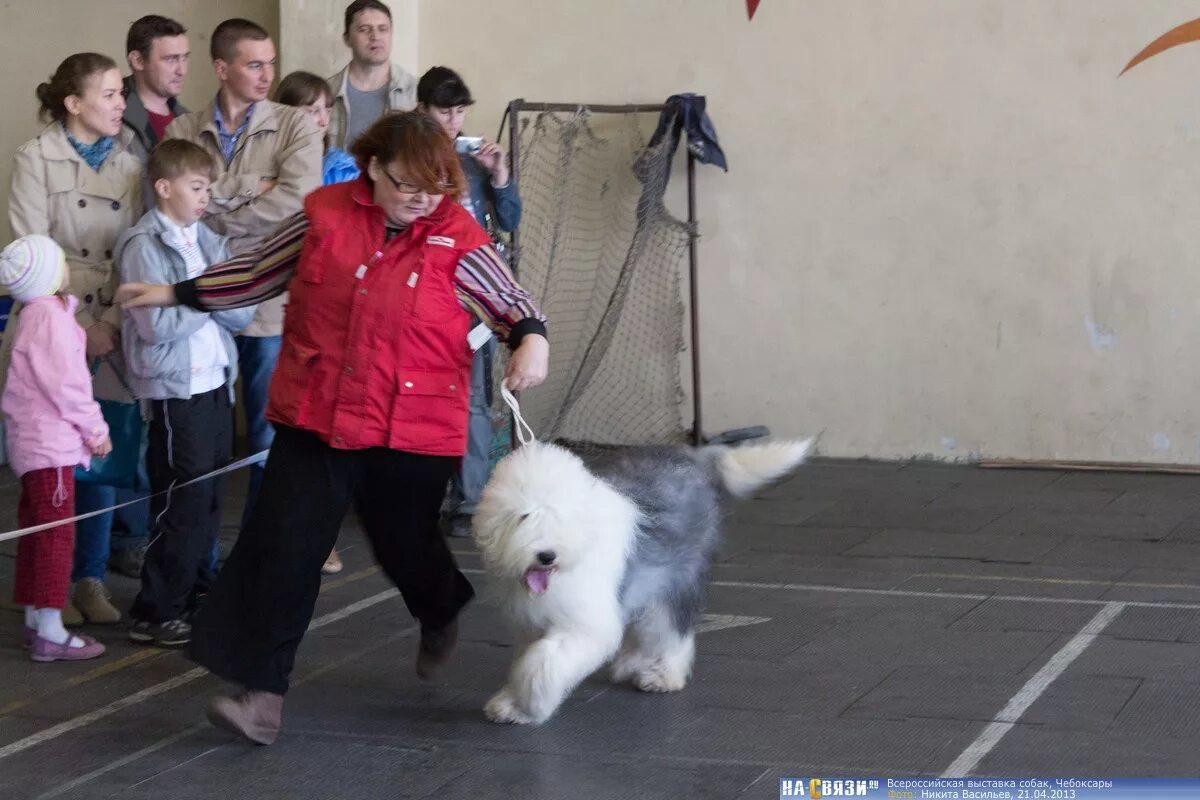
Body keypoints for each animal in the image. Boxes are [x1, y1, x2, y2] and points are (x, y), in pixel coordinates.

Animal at [472, 438, 811, 724]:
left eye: (559, 517)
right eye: (524, 516)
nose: (546, 555)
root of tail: (691, 456)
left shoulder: (583, 625)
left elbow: (543, 661)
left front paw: (530, 706)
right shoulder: (532, 625)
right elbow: (525, 661)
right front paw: (510, 704)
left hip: (676, 577)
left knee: (671, 630)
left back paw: (663, 675)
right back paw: (632, 663)